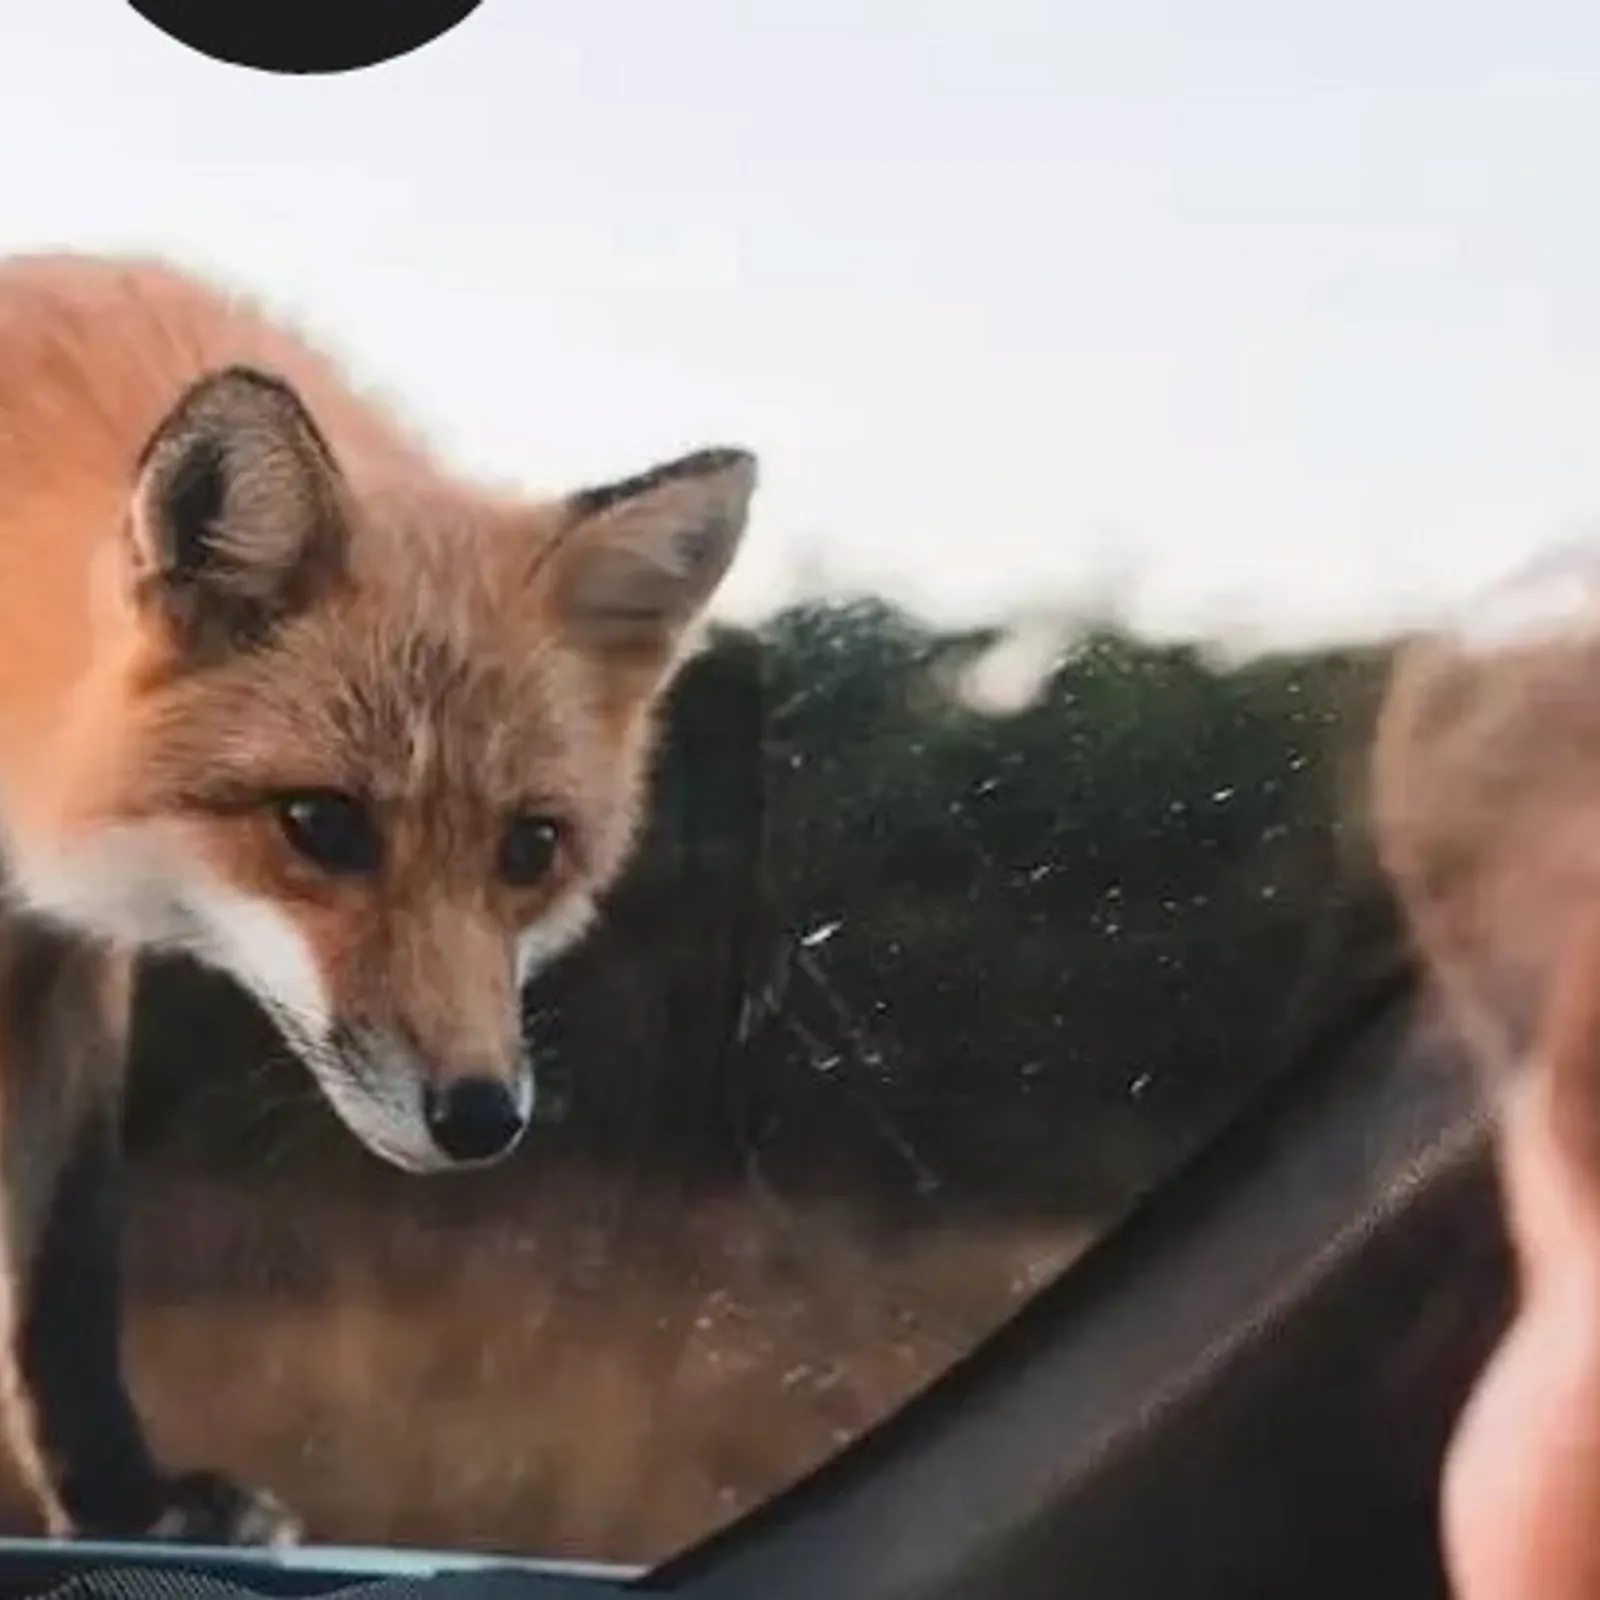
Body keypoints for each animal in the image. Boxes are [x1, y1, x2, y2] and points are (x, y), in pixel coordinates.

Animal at [0, 253, 758, 1546]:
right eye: (323, 824)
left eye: (529, 848)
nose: (480, 1116)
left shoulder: (59, 953)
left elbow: (67, 1250)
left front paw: (119, 1495)